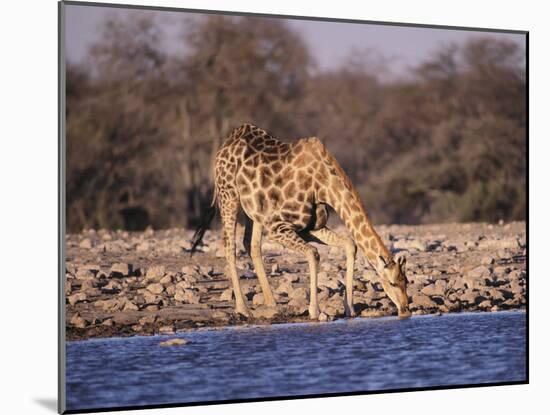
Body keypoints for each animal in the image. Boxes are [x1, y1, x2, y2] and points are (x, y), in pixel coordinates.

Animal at [192, 122, 412, 318]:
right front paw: (315, 311)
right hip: (228, 196)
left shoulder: (310, 227)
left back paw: (271, 303)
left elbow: (350, 244)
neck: (323, 185)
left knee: (251, 244)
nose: (405, 310)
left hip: (254, 211)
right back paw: (243, 309)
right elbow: (313, 253)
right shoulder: (276, 226)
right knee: (230, 246)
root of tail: (225, 145)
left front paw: (349, 308)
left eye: (406, 282)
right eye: (392, 282)